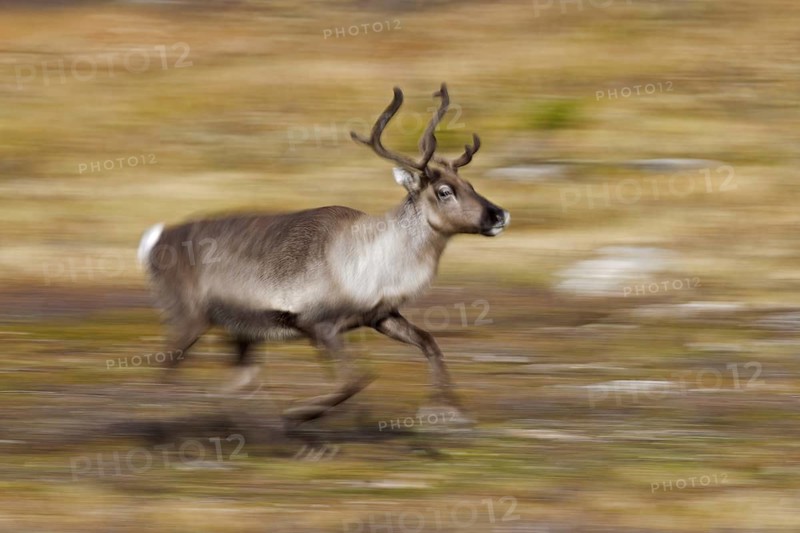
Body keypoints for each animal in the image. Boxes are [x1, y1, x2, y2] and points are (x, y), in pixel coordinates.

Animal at [137, 83, 510, 424]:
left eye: (471, 185)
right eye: (444, 191)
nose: (499, 215)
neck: (377, 260)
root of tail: (153, 240)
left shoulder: (381, 316)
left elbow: (430, 343)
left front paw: (447, 409)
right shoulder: (316, 323)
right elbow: (356, 379)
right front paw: (301, 411)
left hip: (240, 332)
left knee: (233, 385)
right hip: (189, 316)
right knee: (162, 375)